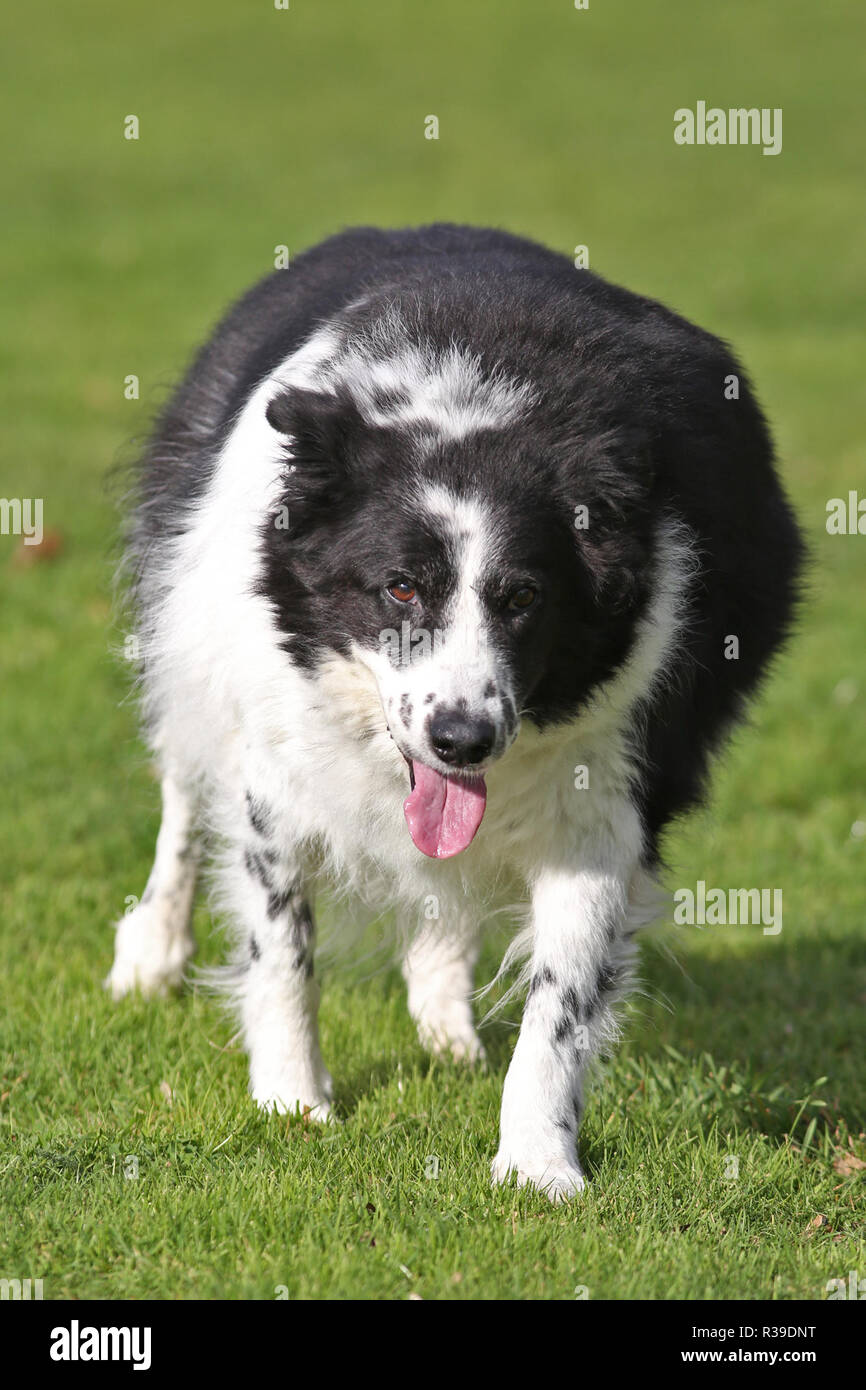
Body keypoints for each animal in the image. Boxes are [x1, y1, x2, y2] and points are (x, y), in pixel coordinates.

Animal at [108, 222, 806, 1200]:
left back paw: (446, 1025)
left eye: (525, 599)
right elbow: (282, 939)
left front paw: (539, 1166)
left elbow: (564, 992)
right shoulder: (277, 752)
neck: (472, 405)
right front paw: (293, 1103)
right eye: (400, 588)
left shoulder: (610, 781)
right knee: (182, 783)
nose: (463, 739)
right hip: (185, 628)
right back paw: (151, 954)